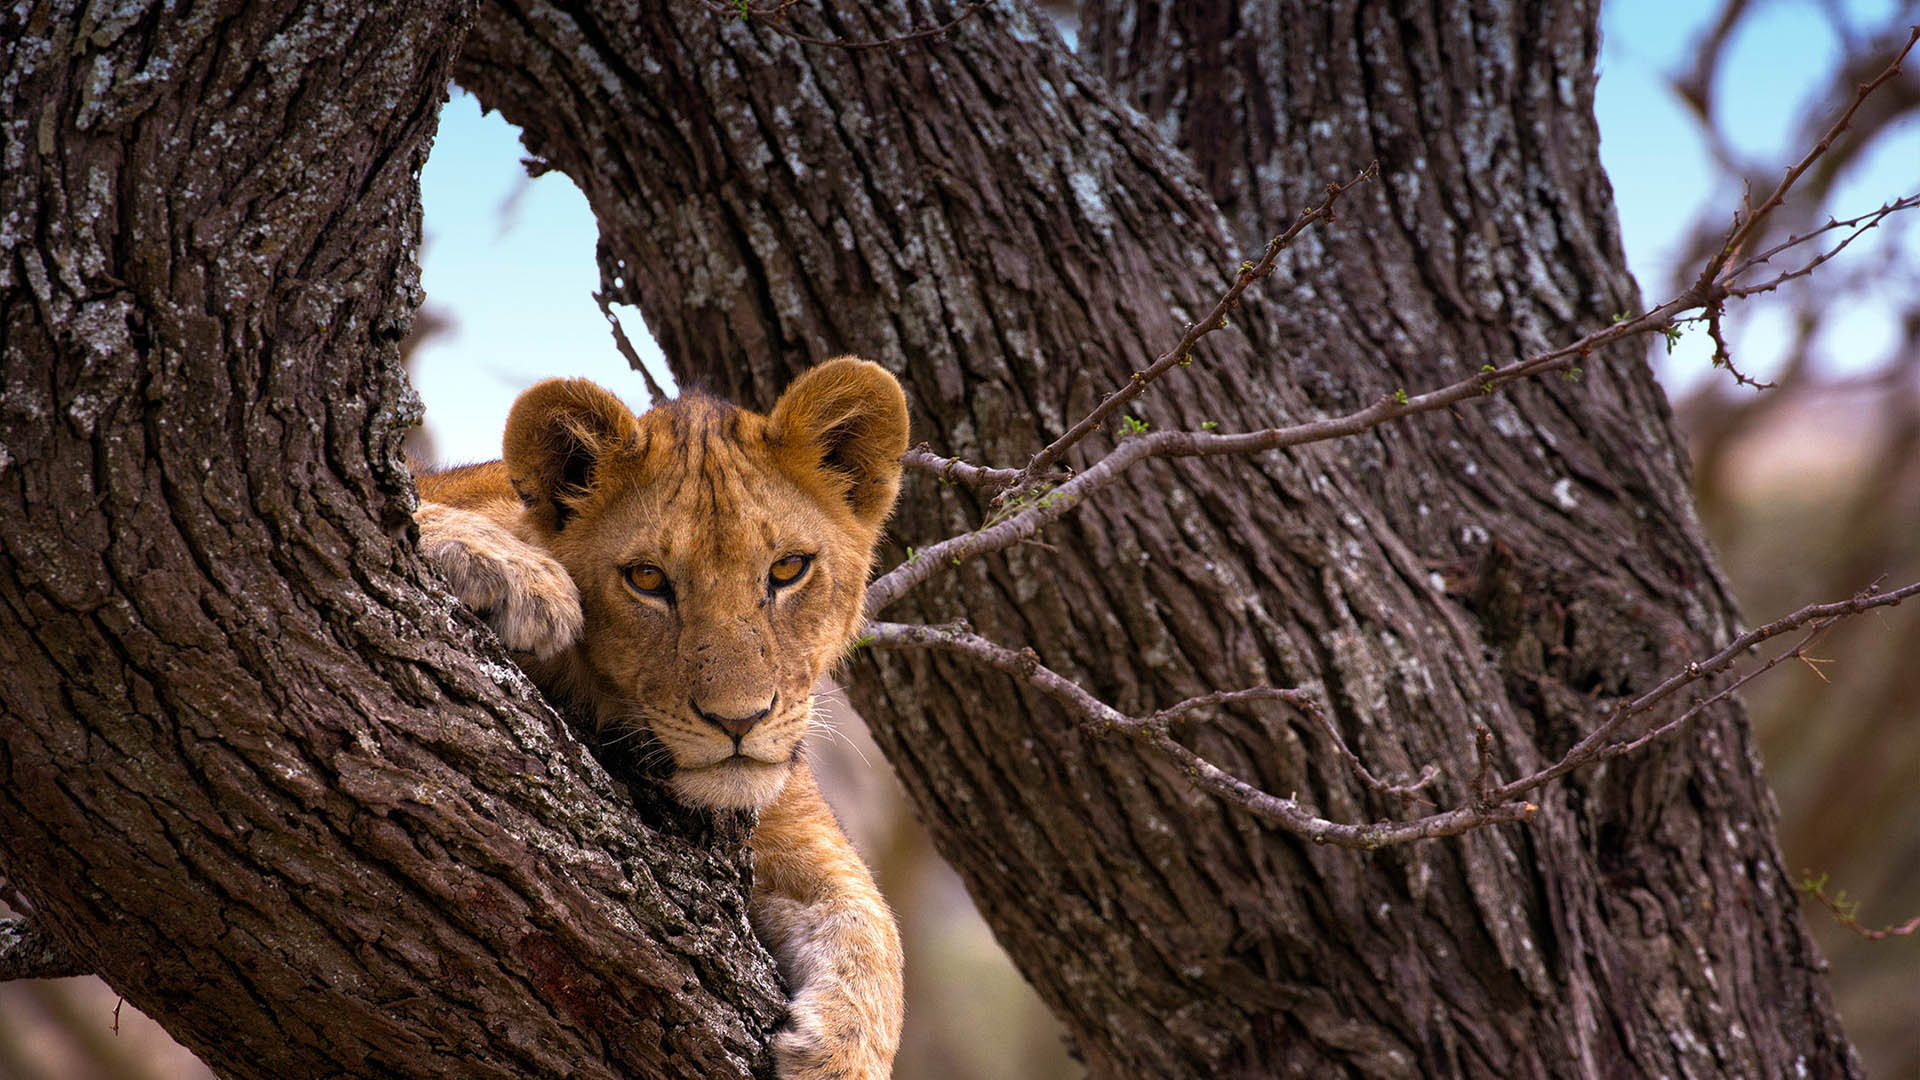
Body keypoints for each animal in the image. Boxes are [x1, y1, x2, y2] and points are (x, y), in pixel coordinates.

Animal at [414, 358, 909, 1080]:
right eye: (647, 579)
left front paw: (838, 1058)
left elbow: (871, 920)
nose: (739, 721)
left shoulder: (787, 817)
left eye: (788, 568)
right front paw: (521, 574)